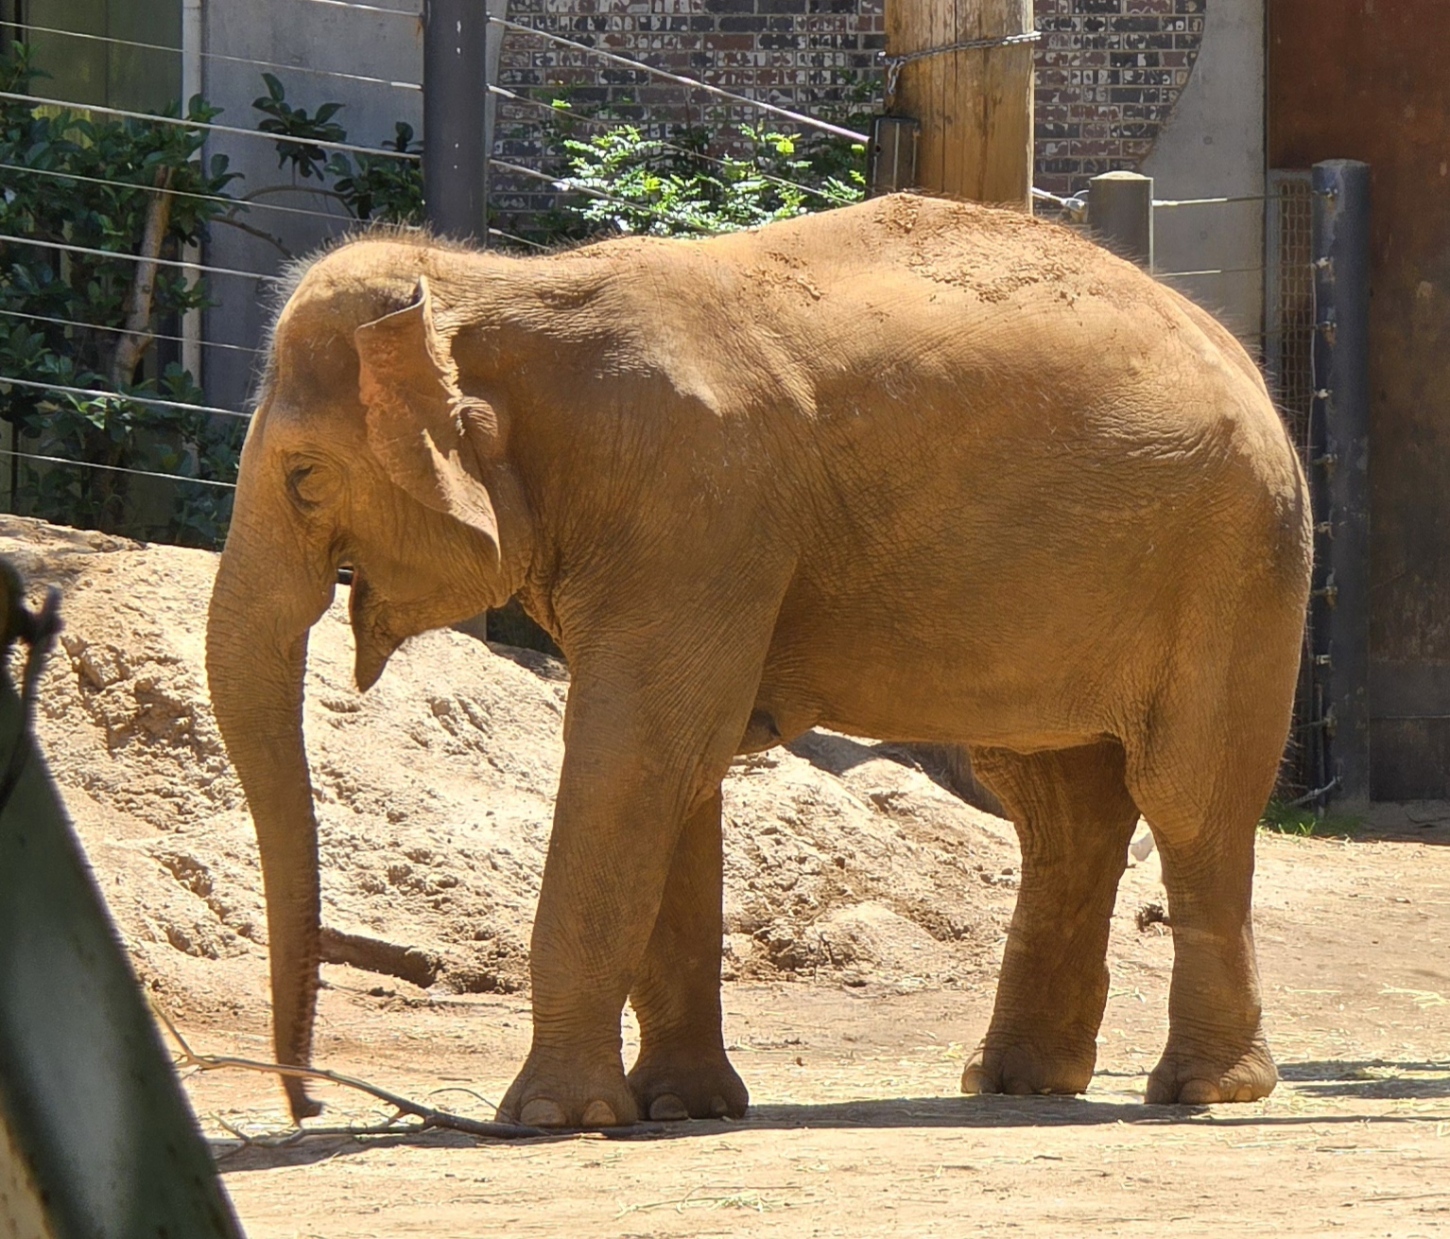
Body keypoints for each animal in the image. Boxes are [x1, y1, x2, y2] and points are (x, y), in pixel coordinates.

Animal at [207, 191, 1316, 1125]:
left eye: (304, 479)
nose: (310, 1106)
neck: (494, 287)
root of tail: (1242, 356)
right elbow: (676, 772)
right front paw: (681, 1106)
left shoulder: (699, 501)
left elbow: (637, 753)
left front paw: (554, 1119)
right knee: (1055, 802)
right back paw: (1017, 1082)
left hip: (1234, 559)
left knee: (1188, 795)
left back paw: (1206, 1091)